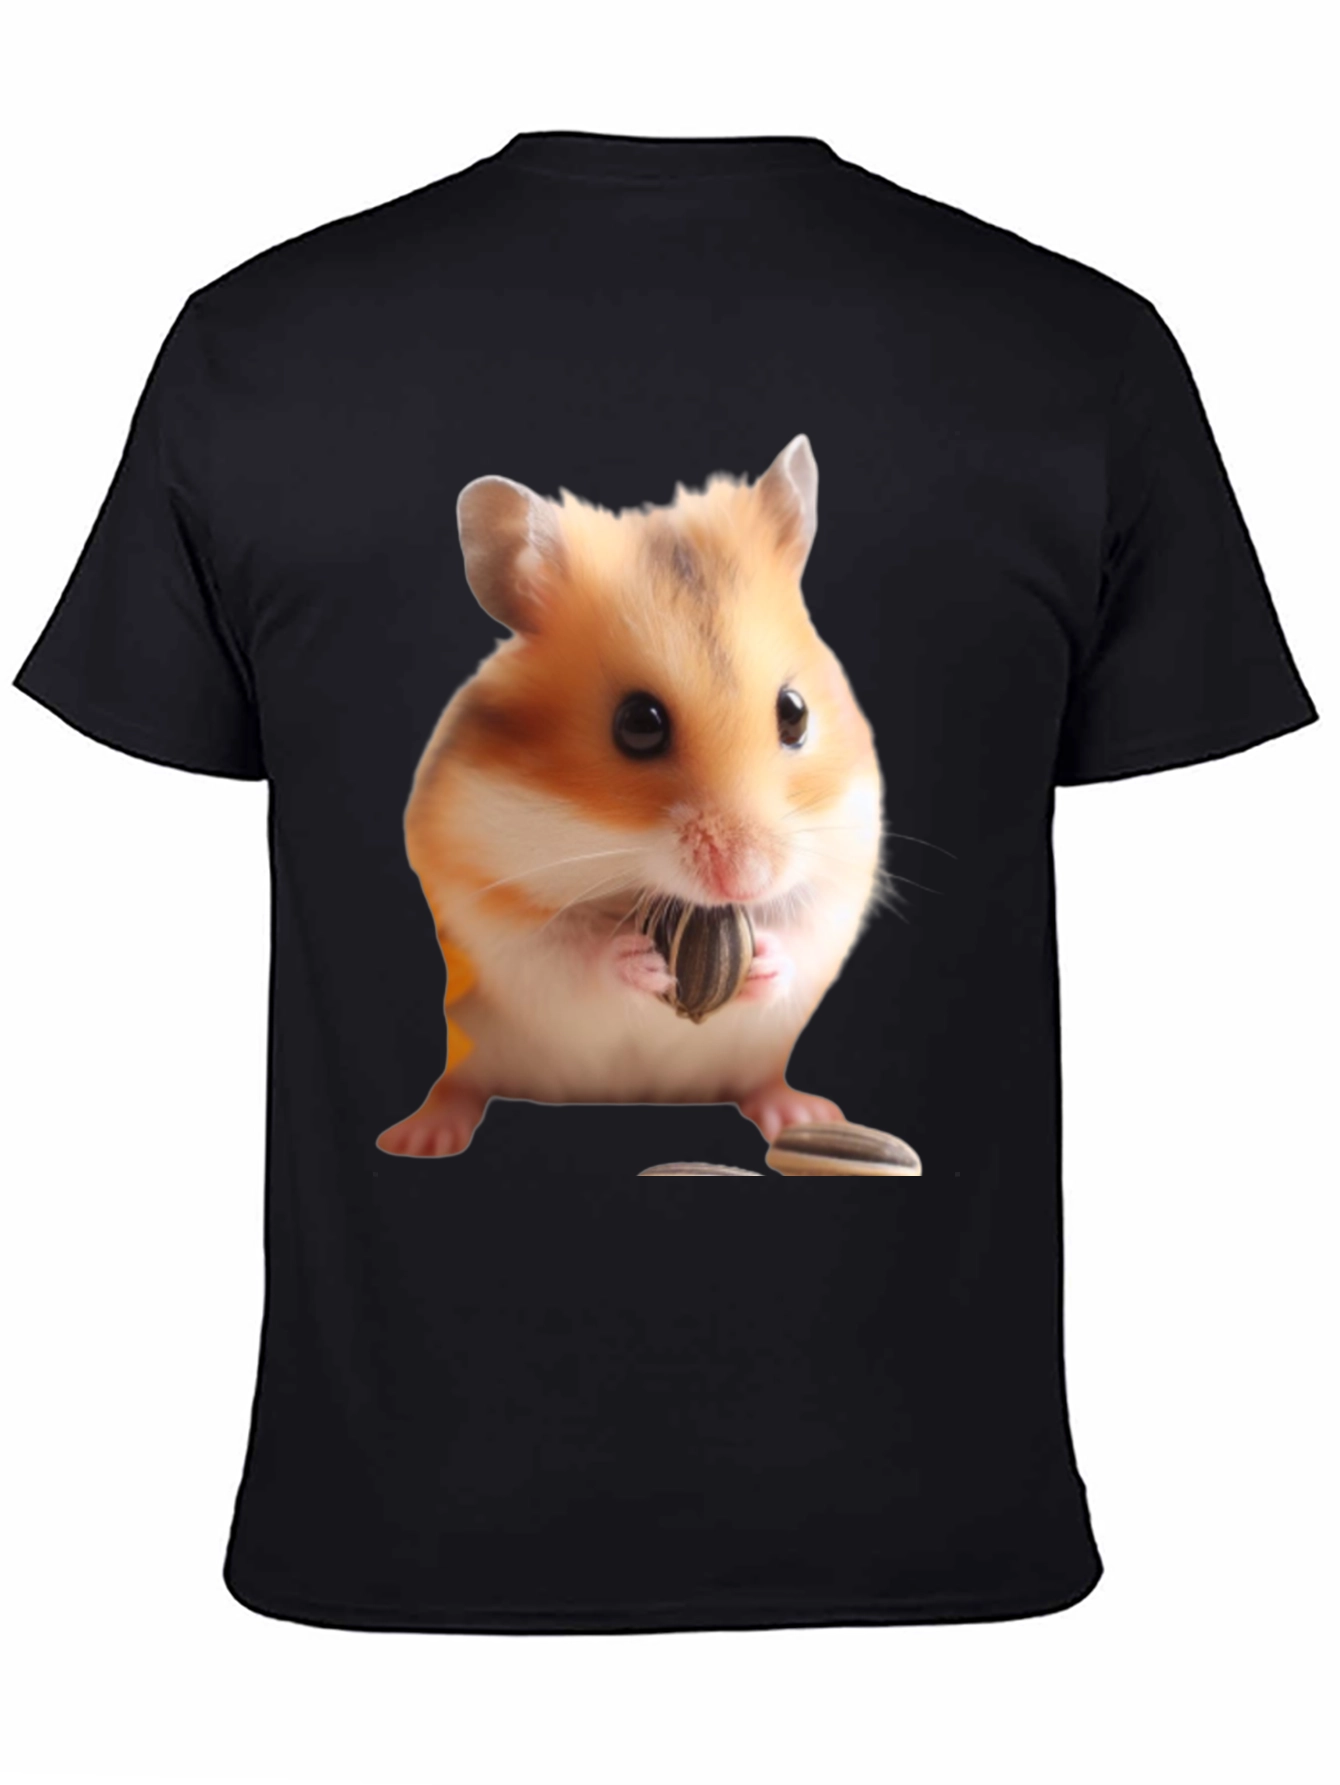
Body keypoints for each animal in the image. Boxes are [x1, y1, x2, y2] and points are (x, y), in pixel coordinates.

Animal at [377, 436, 883, 1159]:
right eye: (638, 725)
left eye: (795, 714)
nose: (745, 880)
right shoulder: (479, 904)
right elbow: (564, 954)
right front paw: (639, 964)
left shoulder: (843, 869)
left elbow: (804, 931)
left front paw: (764, 960)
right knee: (460, 1084)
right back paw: (421, 1138)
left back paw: (804, 1116)